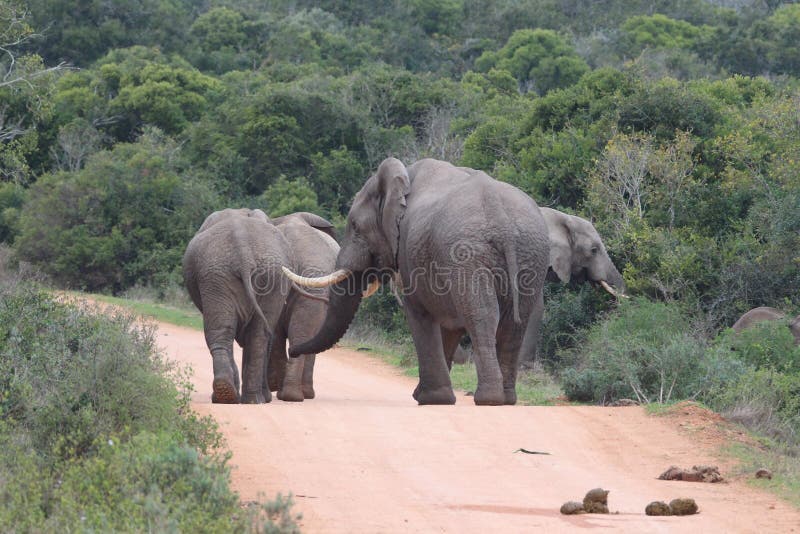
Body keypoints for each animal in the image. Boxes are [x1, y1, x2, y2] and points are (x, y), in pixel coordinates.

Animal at [184, 209, 290, 406]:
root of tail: (243, 252)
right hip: (224, 274)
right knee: (251, 335)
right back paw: (241, 397)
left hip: (228, 275)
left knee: (230, 332)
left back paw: (234, 396)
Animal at [282, 158, 552, 406]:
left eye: (355, 226)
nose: (292, 350)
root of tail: (501, 219)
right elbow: (449, 325)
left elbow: (420, 314)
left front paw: (431, 399)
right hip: (531, 253)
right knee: (515, 323)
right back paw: (507, 400)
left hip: (466, 252)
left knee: (482, 315)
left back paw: (488, 399)